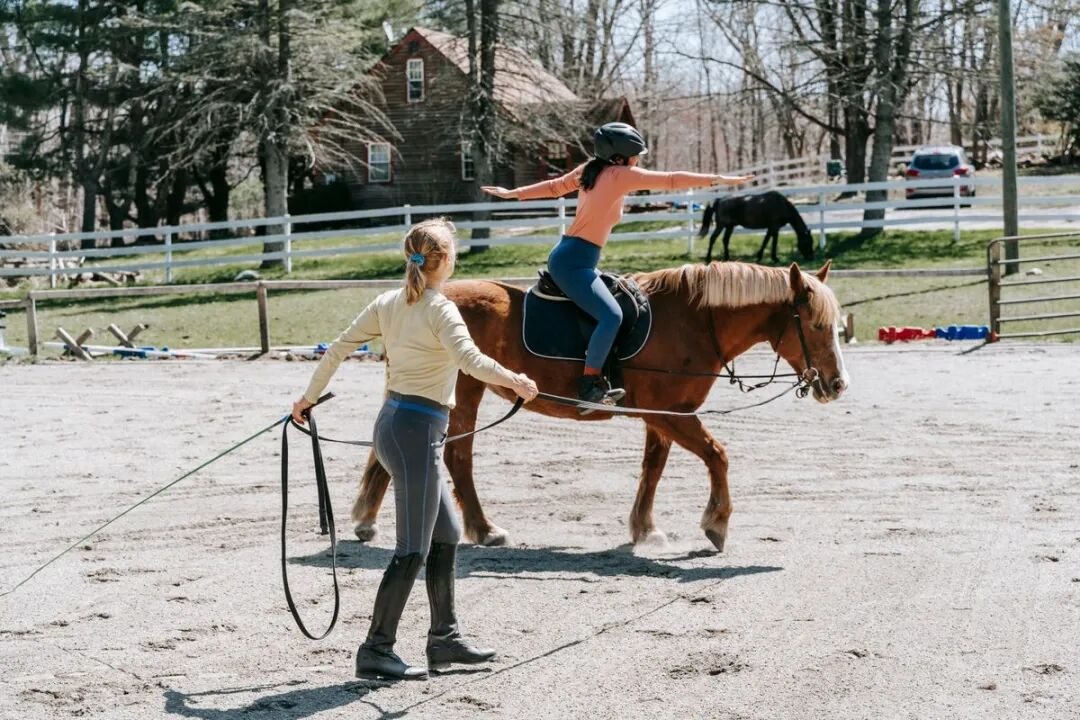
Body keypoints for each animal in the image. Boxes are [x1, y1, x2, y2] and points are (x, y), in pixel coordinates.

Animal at [349, 260, 848, 553]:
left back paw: (369, 520)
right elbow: (717, 455)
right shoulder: (671, 414)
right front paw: (716, 523)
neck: (690, 320)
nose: (837, 384)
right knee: (456, 456)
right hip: (463, 391)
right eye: (815, 325)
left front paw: (644, 528)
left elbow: (653, 467)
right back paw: (484, 528)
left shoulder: (663, 417)